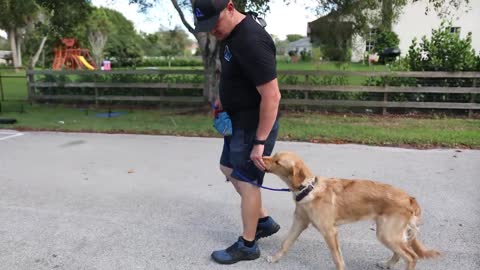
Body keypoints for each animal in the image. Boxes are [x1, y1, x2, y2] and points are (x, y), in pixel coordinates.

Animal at [262, 152, 438, 270]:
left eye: (277, 161)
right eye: (273, 155)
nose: (261, 157)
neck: (308, 189)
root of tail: (409, 198)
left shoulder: (329, 231)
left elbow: (336, 257)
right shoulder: (299, 222)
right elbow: (285, 243)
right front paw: (275, 258)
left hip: (387, 233)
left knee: (411, 256)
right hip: (390, 233)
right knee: (401, 253)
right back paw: (388, 264)